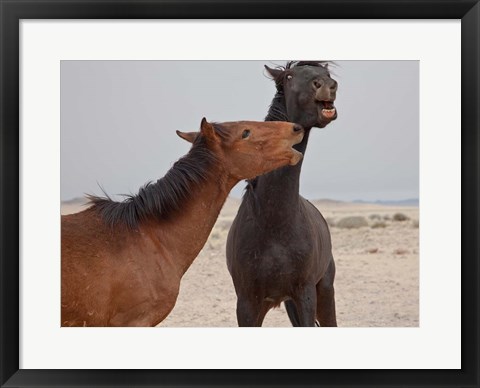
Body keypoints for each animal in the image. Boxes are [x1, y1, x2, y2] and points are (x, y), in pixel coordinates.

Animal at [228, 61, 338, 328]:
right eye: (288, 76)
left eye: (328, 74)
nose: (327, 86)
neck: (274, 223)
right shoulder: (247, 303)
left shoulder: (305, 295)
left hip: (324, 291)